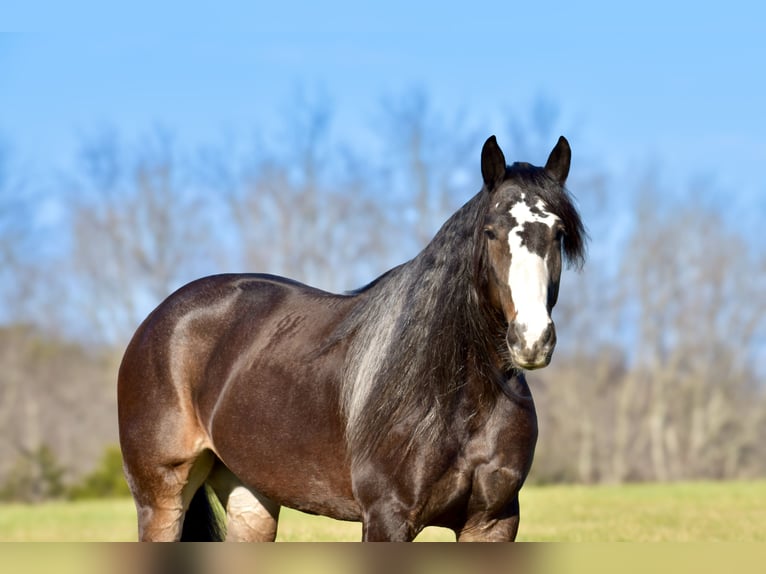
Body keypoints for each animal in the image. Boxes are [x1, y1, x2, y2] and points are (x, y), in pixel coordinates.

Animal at [117, 136, 584, 544]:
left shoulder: (492, 523)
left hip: (250, 497)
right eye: (490, 231)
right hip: (161, 500)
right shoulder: (386, 519)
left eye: (558, 233)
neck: (454, 398)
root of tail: (158, 320)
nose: (531, 340)